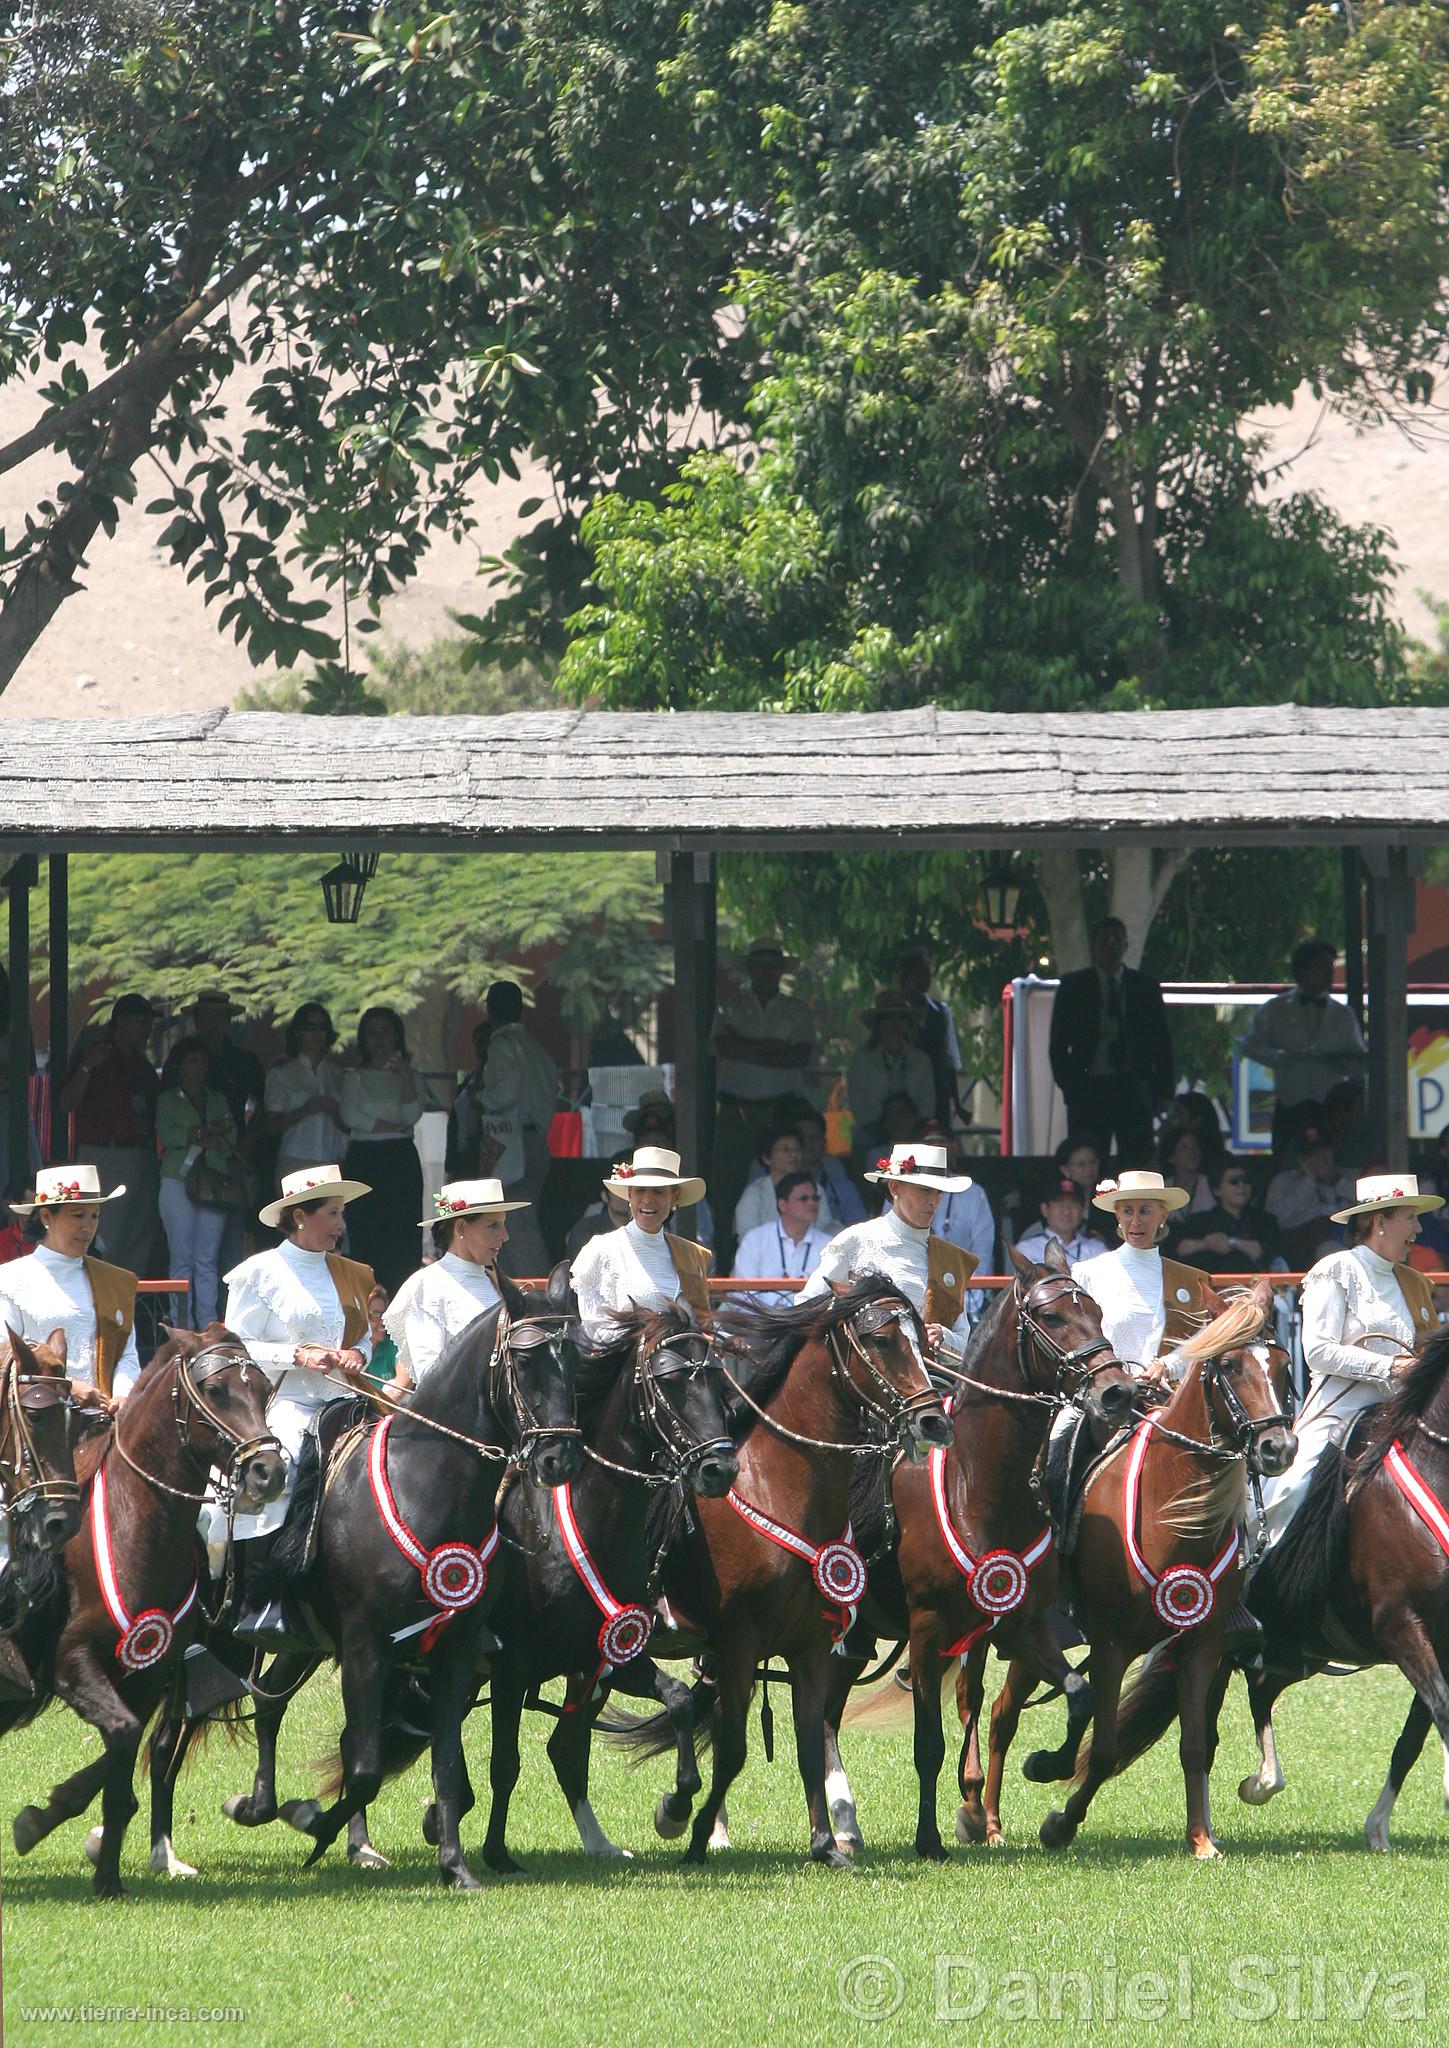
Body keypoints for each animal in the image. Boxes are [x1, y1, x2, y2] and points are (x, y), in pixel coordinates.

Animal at [6, 1327, 282, 1900]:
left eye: (264, 1387)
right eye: (215, 1390)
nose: (269, 1471)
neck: (133, 1525)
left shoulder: (148, 1674)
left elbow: (124, 1752)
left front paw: (106, 1875)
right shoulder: (72, 1664)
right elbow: (124, 1741)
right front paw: (44, 1822)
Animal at [609, 1277, 949, 1875]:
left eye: (919, 1340)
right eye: (882, 1340)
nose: (934, 1420)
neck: (777, 1488)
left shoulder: (811, 1648)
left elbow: (809, 1745)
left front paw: (825, 1845)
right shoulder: (739, 1646)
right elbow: (733, 1752)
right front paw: (694, 1836)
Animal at [814, 1236, 1146, 1867]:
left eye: (1094, 1311)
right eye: (1051, 1316)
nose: (1116, 1390)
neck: (978, 1488)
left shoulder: (1022, 1624)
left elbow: (1078, 1694)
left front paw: (1047, 1765)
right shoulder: (927, 1631)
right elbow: (928, 1743)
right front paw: (929, 1839)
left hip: (858, 1637)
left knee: (823, 1713)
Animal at [1006, 1286, 1301, 1867]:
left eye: (1281, 1366)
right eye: (1229, 1365)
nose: (1277, 1448)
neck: (1170, 1510)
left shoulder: (1201, 1649)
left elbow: (1194, 1747)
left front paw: (1202, 1839)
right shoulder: (1114, 1644)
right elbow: (1105, 1749)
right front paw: (1060, 1825)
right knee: (1004, 1715)